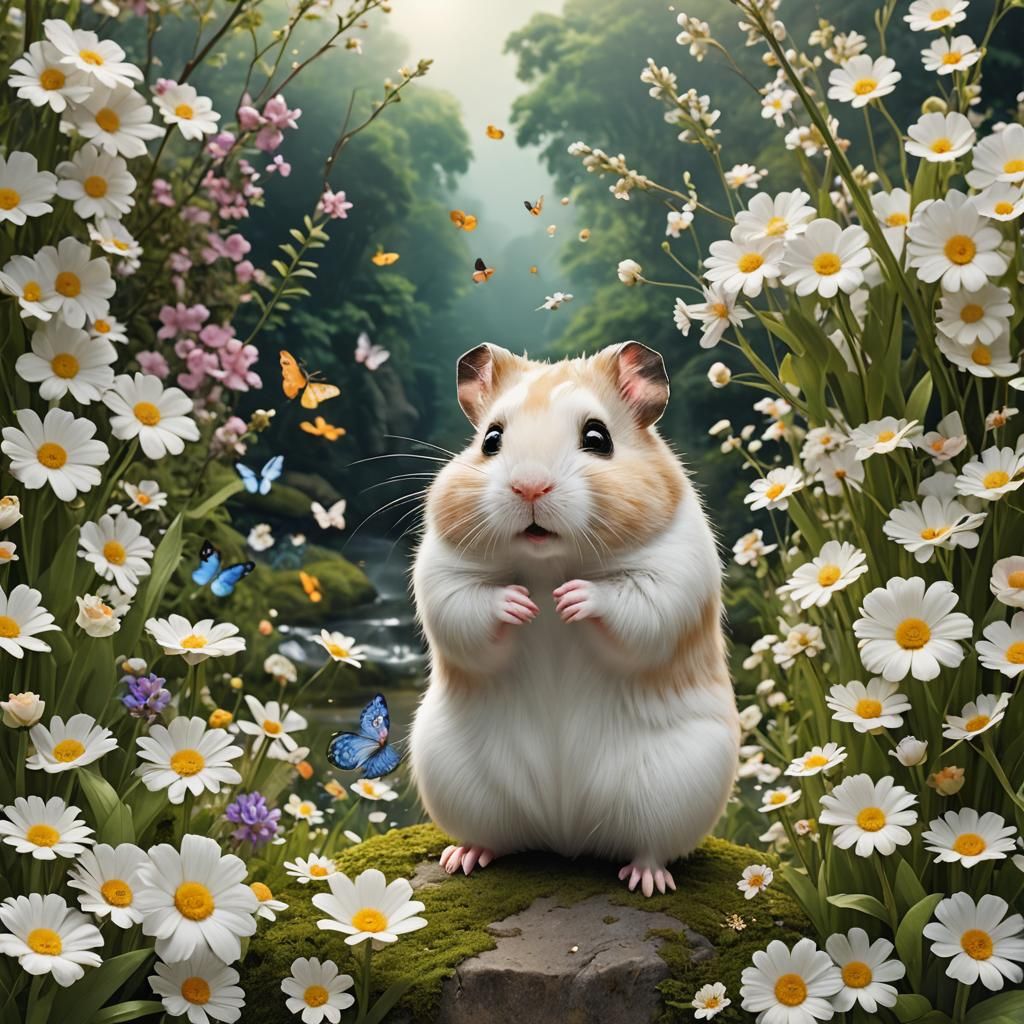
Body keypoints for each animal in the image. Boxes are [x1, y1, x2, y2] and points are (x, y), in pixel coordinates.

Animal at [408, 341, 739, 897]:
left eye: (597, 438)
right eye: (491, 440)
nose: (529, 488)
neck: (549, 560)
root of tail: (564, 836)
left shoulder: (671, 575)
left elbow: (633, 607)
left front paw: (568, 600)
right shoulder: (442, 574)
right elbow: (467, 608)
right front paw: (523, 604)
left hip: (678, 787)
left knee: (651, 847)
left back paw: (648, 881)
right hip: (454, 778)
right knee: (493, 837)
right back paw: (463, 858)